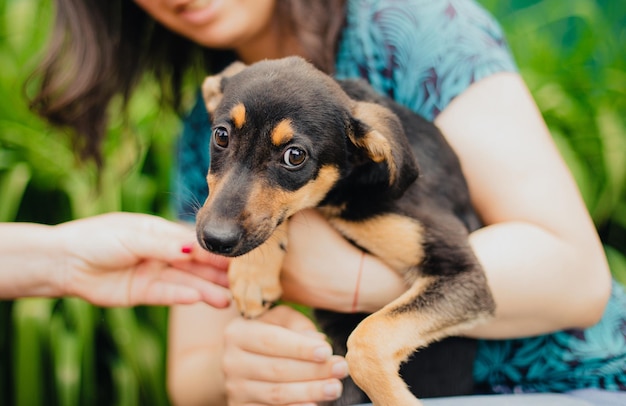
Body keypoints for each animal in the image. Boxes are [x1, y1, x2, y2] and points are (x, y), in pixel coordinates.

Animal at [195, 56, 492, 406]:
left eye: (295, 156)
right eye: (221, 136)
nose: (215, 239)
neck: (357, 178)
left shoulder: (463, 273)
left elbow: (365, 338)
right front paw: (253, 273)